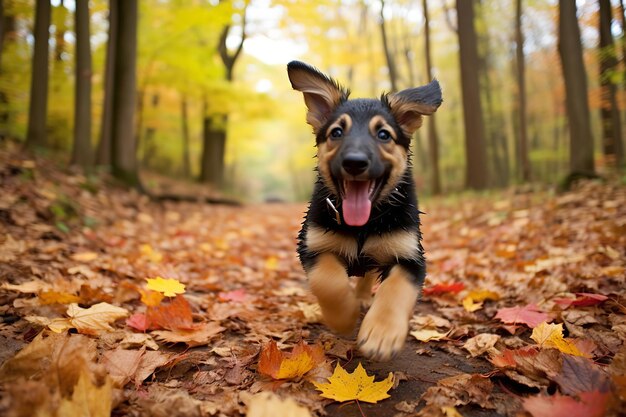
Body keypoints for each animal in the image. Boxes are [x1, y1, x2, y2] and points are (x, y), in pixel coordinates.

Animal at [286, 60, 442, 360]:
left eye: (383, 135)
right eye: (336, 132)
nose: (354, 162)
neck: (365, 224)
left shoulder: (410, 255)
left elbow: (396, 286)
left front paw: (382, 332)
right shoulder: (313, 245)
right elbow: (328, 281)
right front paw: (343, 316)